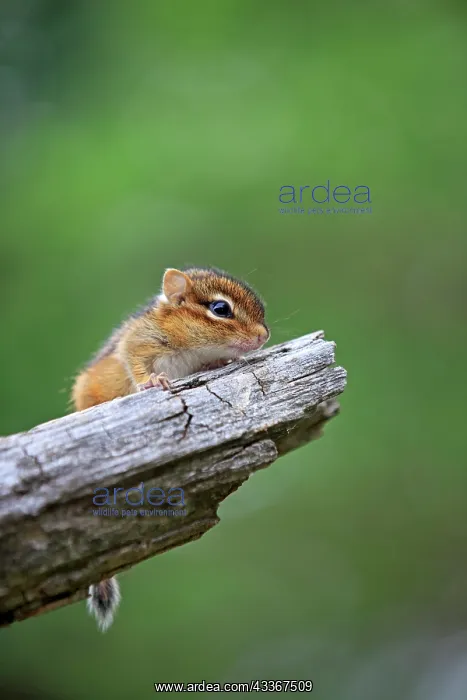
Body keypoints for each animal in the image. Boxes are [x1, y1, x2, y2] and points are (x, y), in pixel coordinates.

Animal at [71, 267, 270, 631]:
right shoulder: (138, 342)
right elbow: (135, 363)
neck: (192, 346)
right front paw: (151, 381)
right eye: (221, 309)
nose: (265, 336)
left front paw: (214, 364)